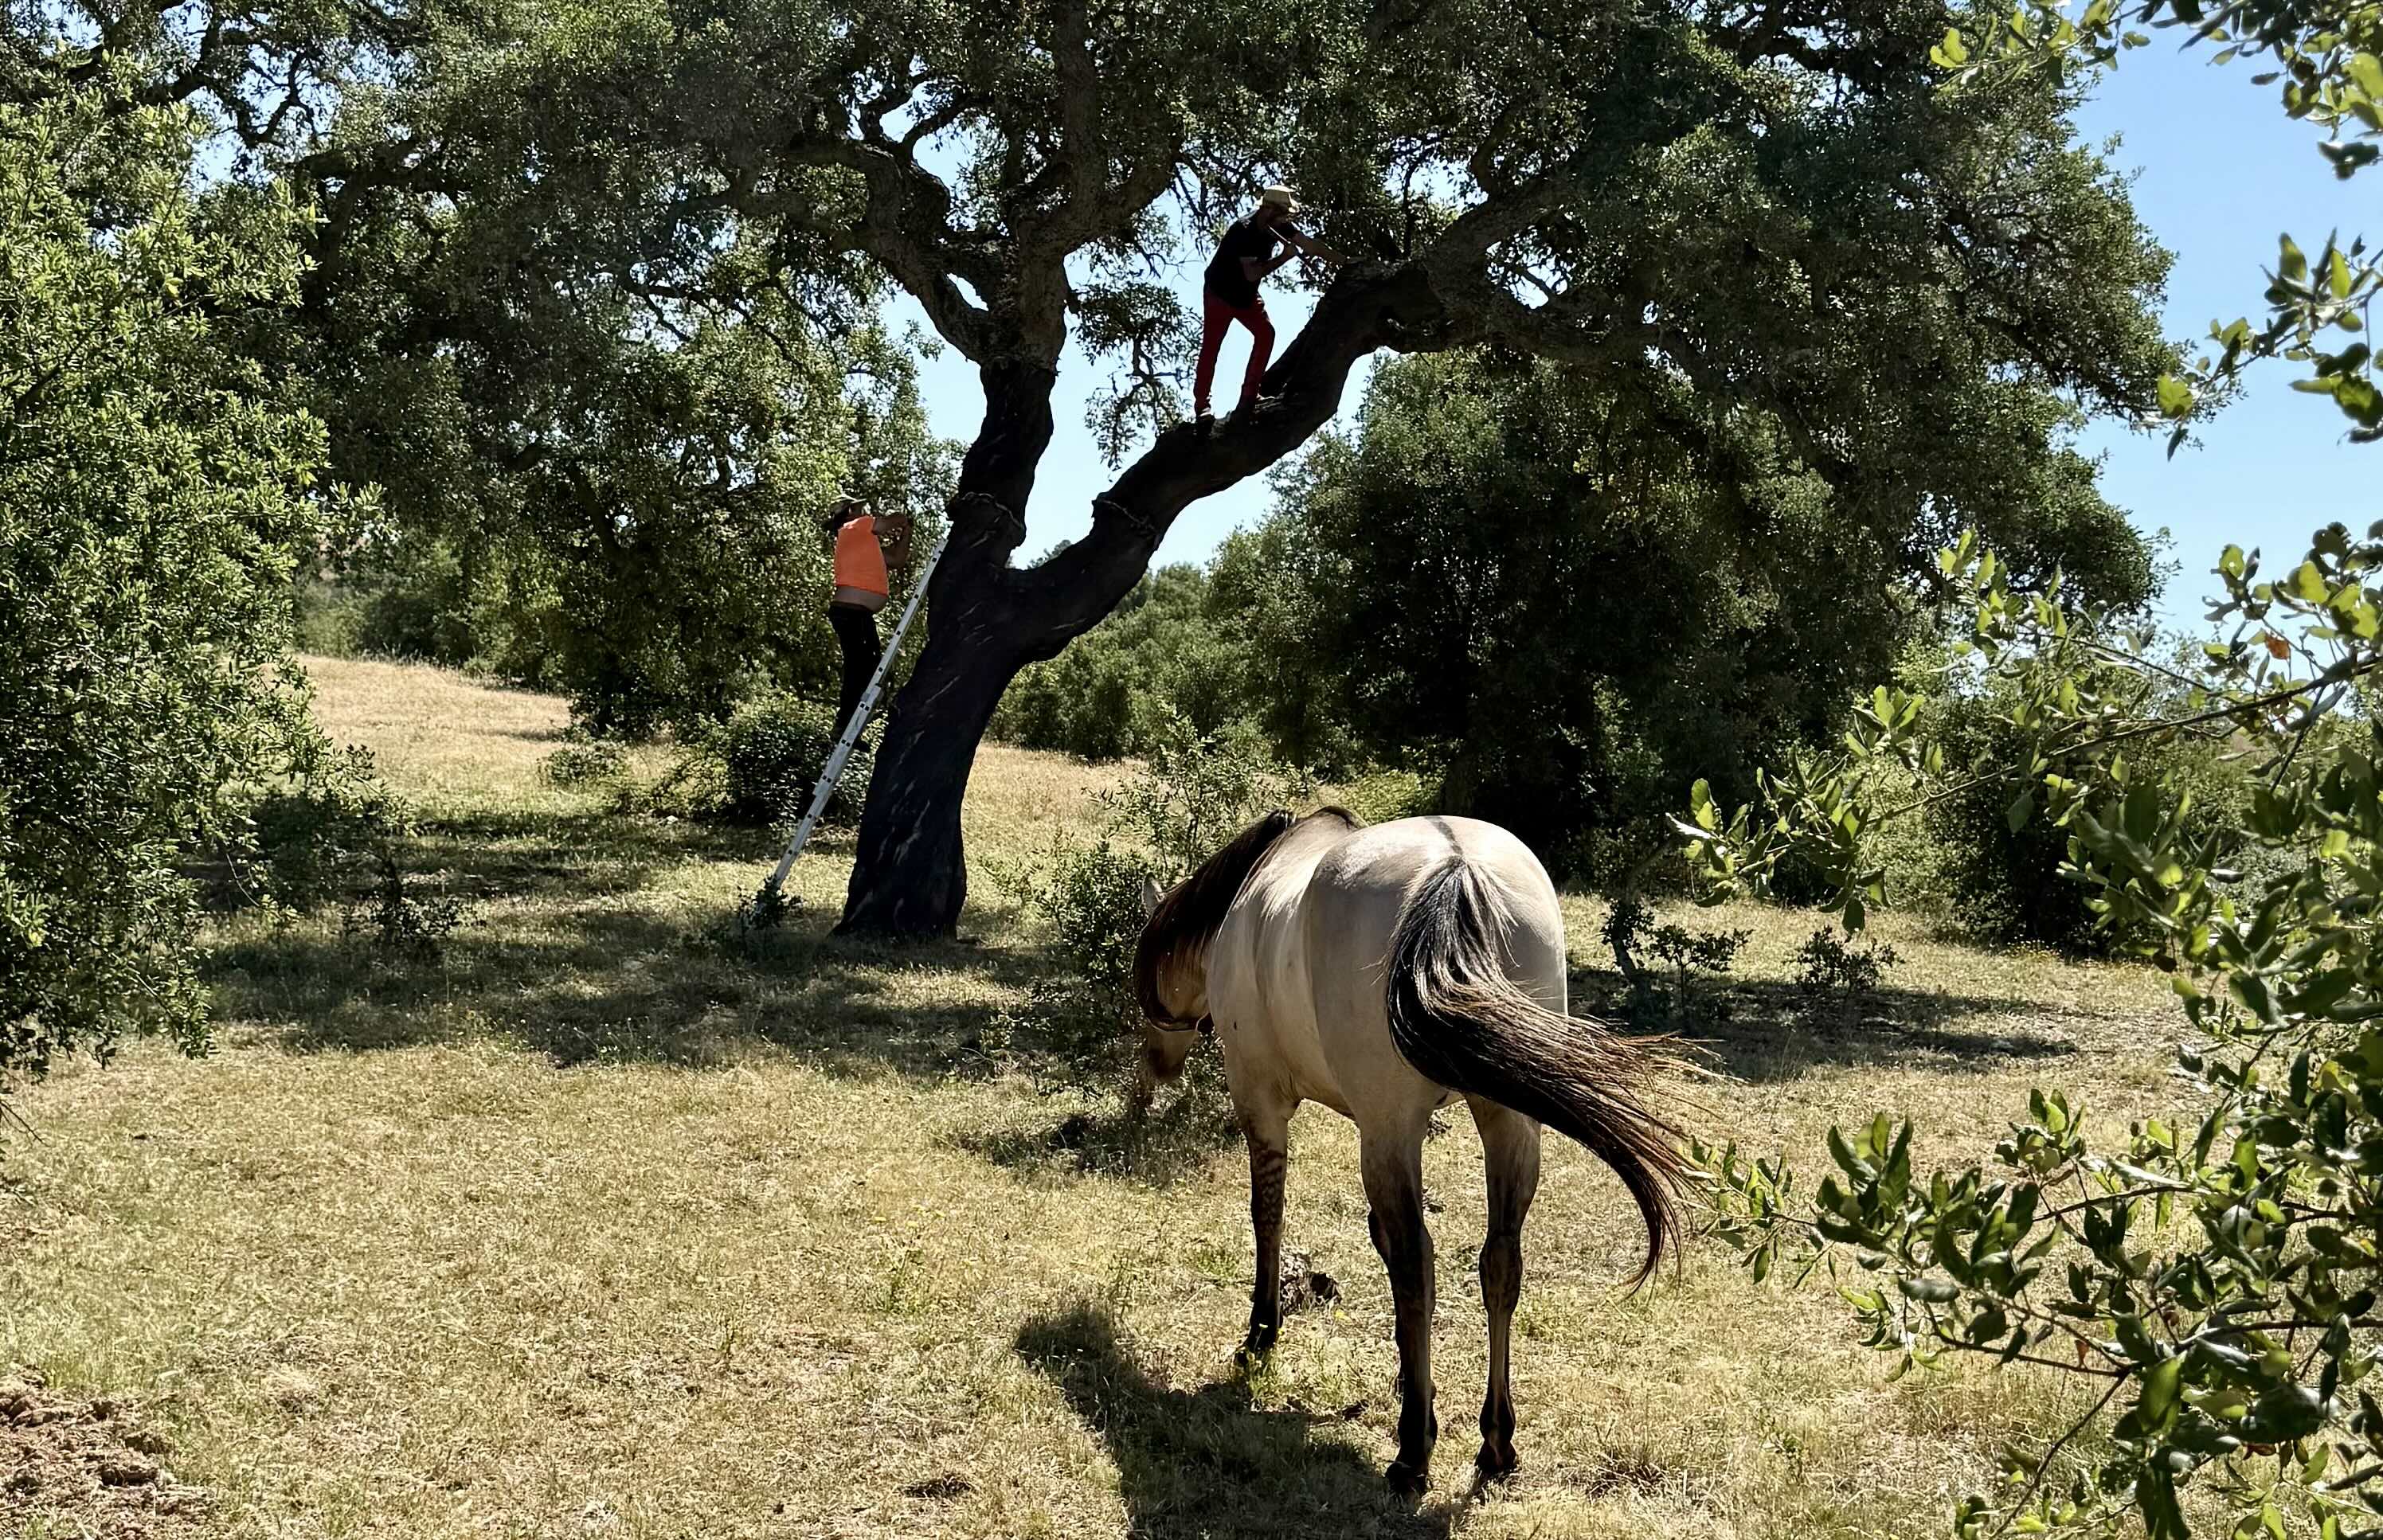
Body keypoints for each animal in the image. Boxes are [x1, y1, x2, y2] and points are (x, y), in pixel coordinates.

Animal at [1132, 807, 1692, 1494]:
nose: (1155, 1065)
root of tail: (1455, 867)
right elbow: (1380, 1235)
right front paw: (1408, 1377)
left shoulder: (1266, 1107)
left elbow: (1270, 1217)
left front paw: (1261, 1333)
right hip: (1504, 1120)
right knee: (1498, 1261)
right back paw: (1495, 1442)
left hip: (1391, 1129)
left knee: (1416, 1268)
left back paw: (1412, 1450)